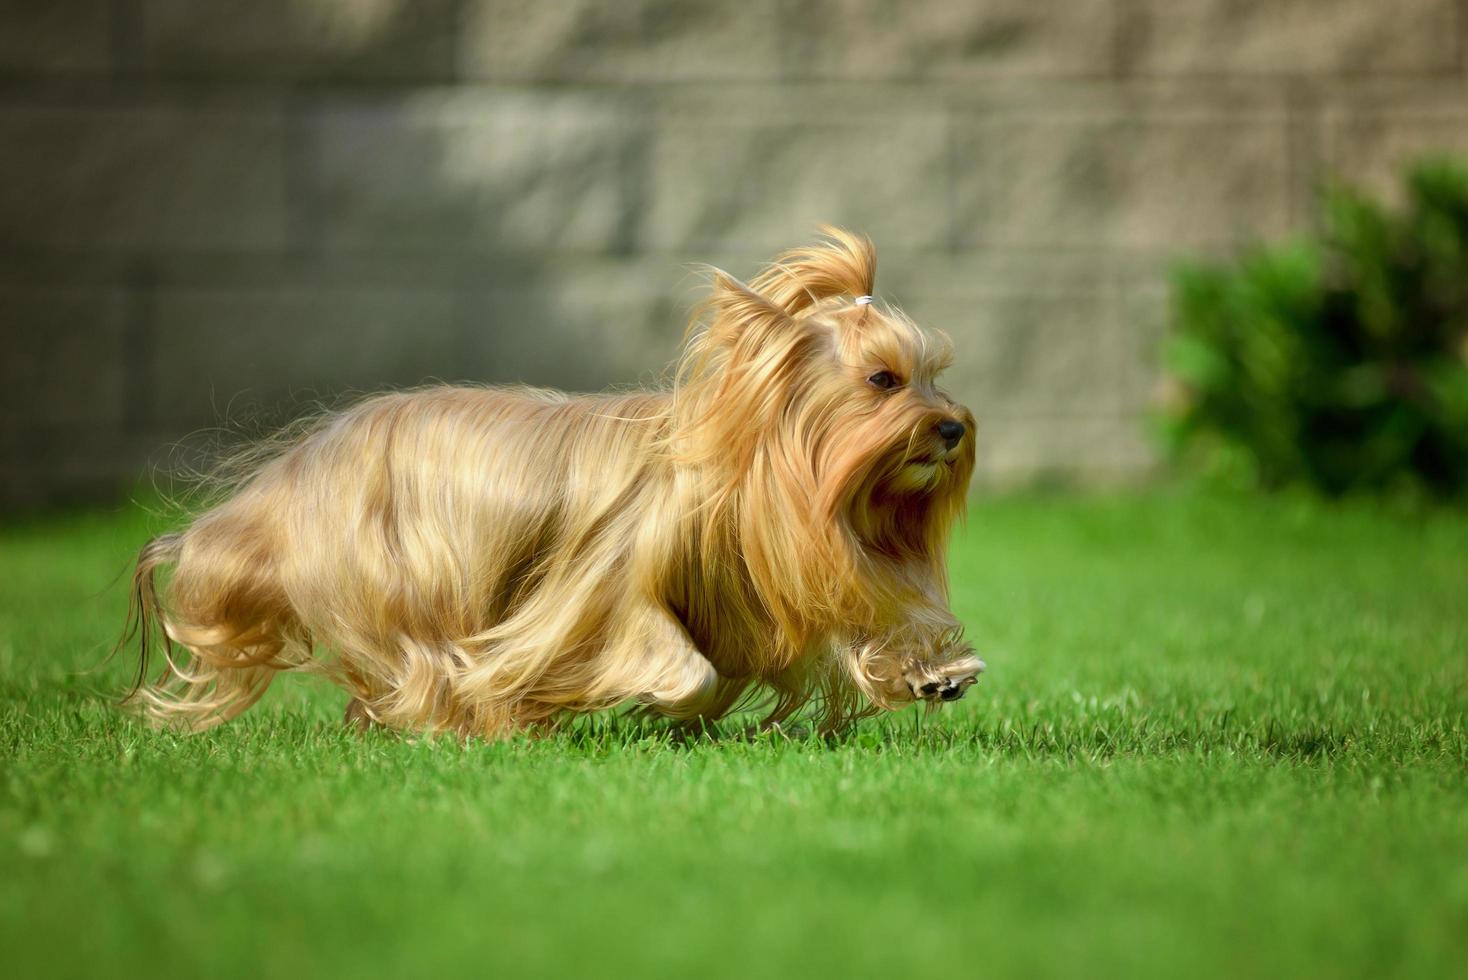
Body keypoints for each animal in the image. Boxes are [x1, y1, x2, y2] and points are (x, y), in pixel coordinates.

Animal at [120, 230, 980, 733]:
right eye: (882, 380)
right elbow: (679, 660)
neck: (747, 476)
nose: (953, 429)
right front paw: (657, 698)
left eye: (936, 375)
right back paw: (461, 720)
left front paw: (933, 672)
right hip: (398, 574)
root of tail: (292, 473)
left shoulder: (778, 579)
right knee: (421, 660)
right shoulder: (611, 585)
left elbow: (851, 631)